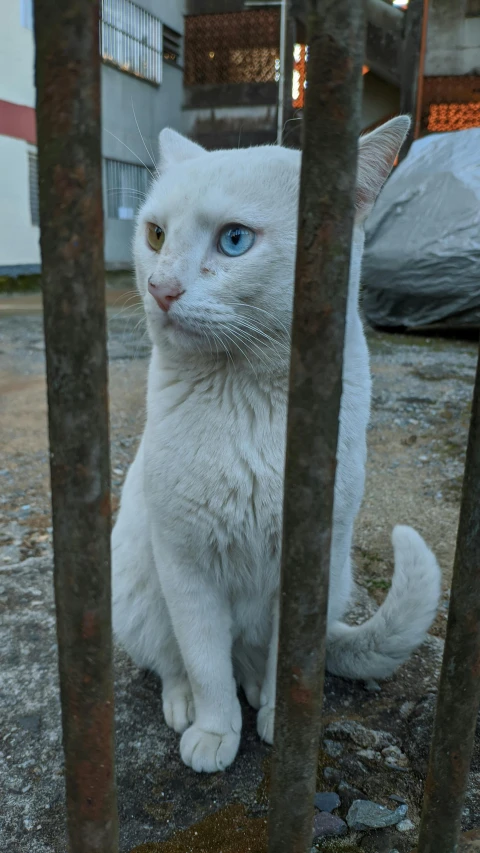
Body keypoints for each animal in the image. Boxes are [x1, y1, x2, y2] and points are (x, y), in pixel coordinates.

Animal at [110, 116, 440, 776]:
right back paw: (185, 704)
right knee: (174, 661)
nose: (160, 288)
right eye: (155, 235)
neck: (248, 401)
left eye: (234, 240)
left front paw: (279, 722)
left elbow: (285, 662)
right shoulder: (185, 563)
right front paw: (217, 732)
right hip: (136, 585)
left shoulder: (311, 562)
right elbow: (205, 663)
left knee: (253, 661)